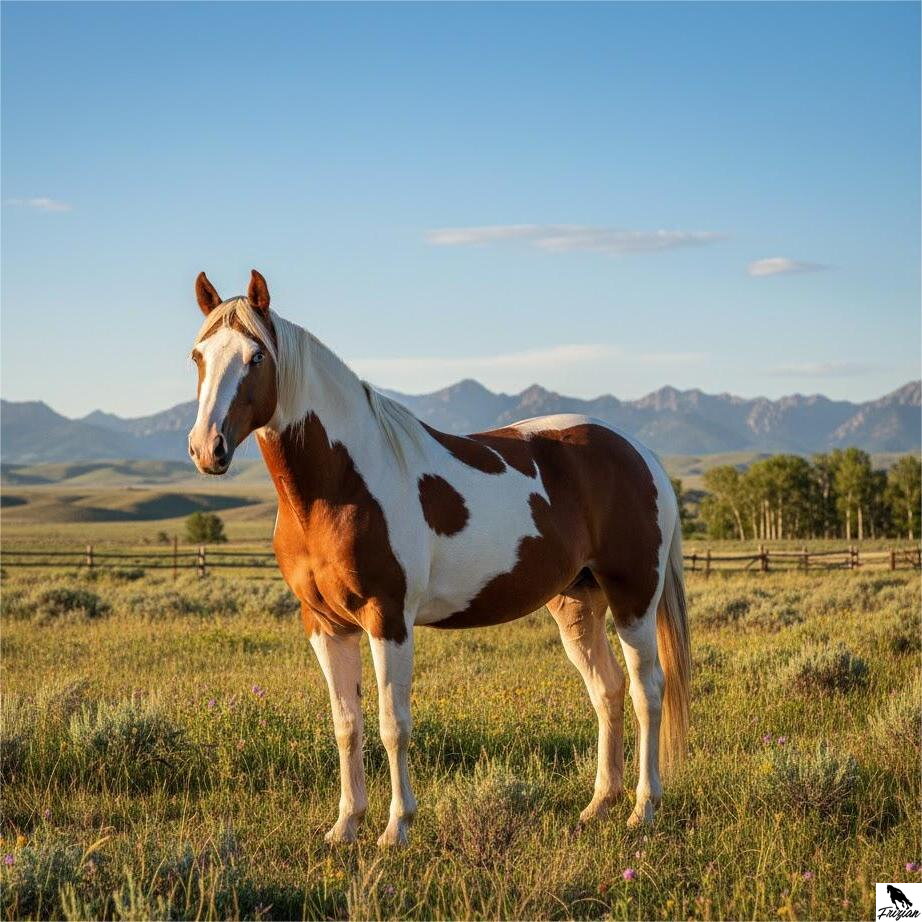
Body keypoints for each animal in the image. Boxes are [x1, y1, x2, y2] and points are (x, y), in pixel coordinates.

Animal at [187, 269, 691, 846]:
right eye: (198, 355)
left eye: (256, 357)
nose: (207, 448)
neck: (338, 484)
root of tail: (639, 452)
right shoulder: (324, 624)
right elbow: (347, 724)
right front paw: (345, 826)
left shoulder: (388, 619)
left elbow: (393, 724)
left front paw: (396, 828)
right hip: (577, 603)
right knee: (607, 690)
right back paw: (598, 806)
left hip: (634, 598)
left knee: (647, 691)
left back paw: (643, 808)